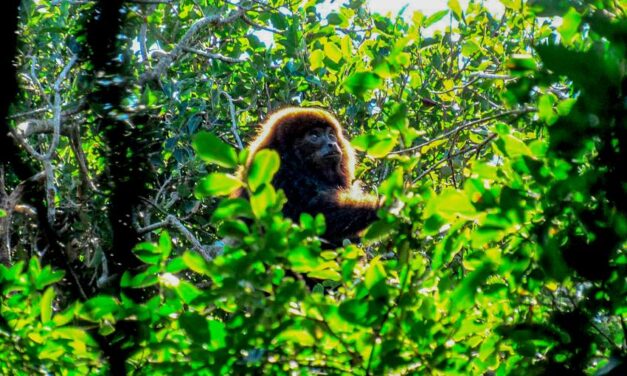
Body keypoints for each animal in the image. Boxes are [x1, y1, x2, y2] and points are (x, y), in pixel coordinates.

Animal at [238, 107, 380, 245]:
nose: (332, 144)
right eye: (314, 135)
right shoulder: (278, 173)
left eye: (331, 135)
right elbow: (311, 213)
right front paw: (379, 206)